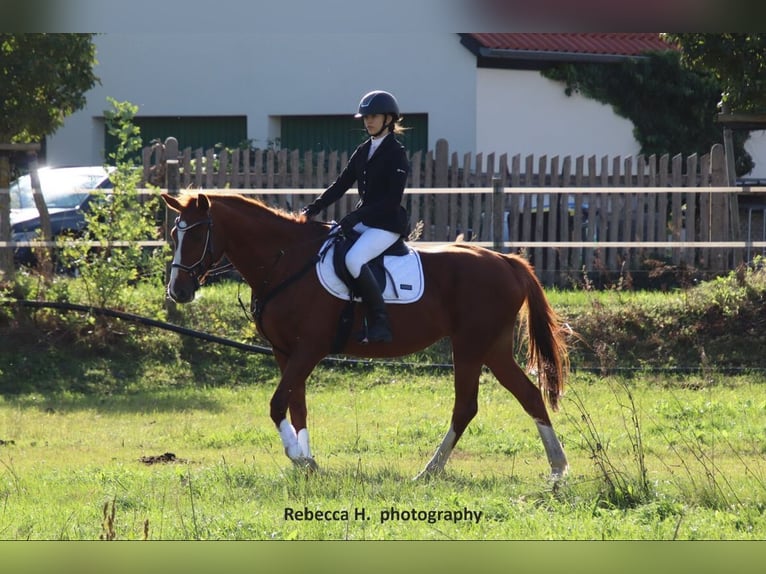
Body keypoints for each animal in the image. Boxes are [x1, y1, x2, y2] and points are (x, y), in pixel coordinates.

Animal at [162, 194, 568, 482]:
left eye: (196, 234)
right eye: (174, 234)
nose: (178, 291)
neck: (285, 261)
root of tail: (508, 262)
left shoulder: (310, 348)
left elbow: (278, 404)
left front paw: (298, 457)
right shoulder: (284, 351)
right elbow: (297, 405)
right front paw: (308, 462)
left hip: (469, 346)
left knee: (466, 407)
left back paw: (429, 471)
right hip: (492, 347)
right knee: (529, 396)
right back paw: (557, 470)